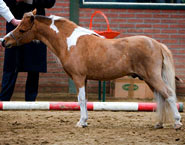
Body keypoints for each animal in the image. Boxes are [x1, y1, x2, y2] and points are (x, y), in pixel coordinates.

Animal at [1, 9, 182, 129]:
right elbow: (85, 100)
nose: (4, 41)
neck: (69, 41)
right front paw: (85, 121)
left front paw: (81, 122)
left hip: (153, 78)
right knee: (161, 97)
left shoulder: (79, 77)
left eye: (22, 29)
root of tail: (157, 43)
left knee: (168, 94)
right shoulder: (85, 79)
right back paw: (159, 123)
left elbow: (81, 100)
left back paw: (177, 122)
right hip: (150, 80)